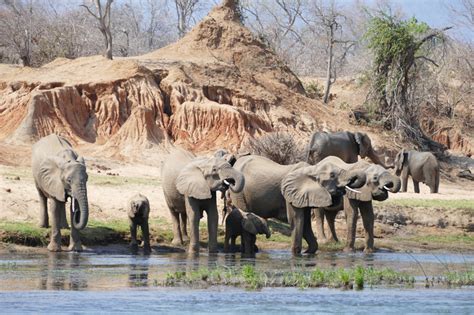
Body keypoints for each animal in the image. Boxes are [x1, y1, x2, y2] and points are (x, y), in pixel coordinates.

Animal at [230, 156, 366, 256]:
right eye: (332, 175)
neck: (312, 169)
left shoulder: (304, 196)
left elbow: (305, 222)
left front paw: (308, 252)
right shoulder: (290, 195)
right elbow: (296, 220)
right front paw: (296, 254)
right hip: (238, 193)